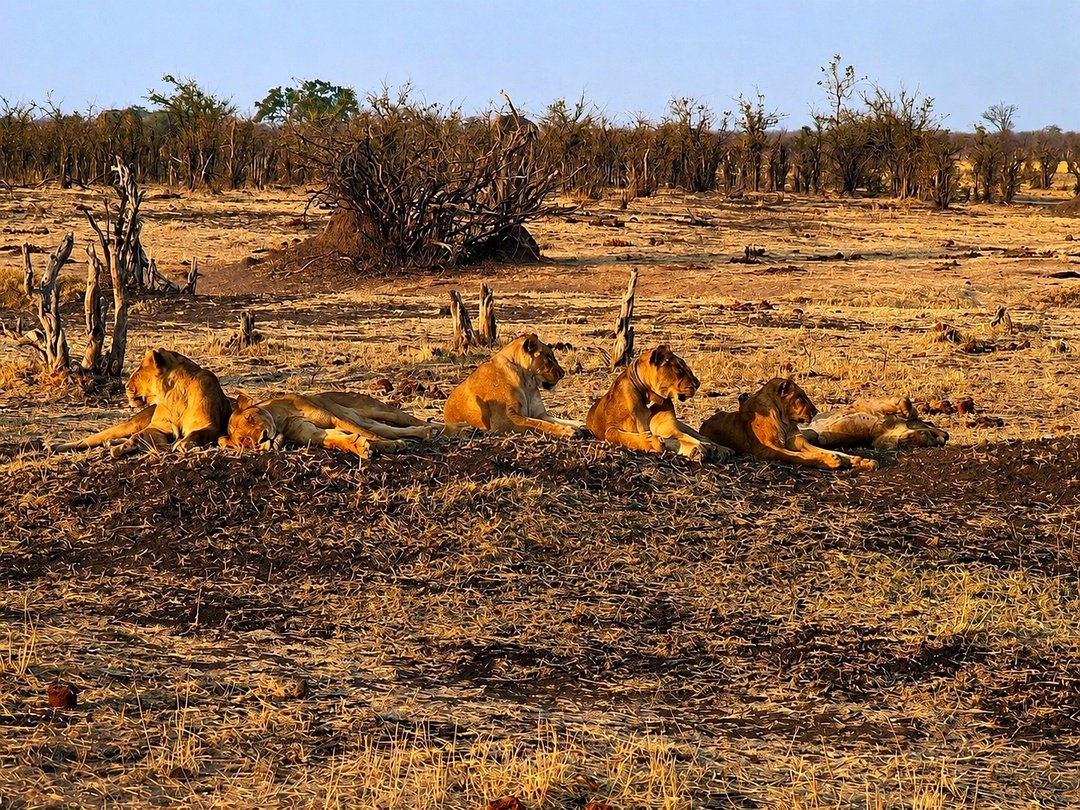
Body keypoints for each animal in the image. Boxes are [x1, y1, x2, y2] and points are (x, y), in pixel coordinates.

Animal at [52, 348, 231, 457]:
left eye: (138, 374)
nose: (125, 386)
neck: (172, 395)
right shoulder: (159, 427)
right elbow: (140, 435)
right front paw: (127, 446)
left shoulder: (209, 426)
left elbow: (196, 433)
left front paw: (182, 444)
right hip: (129, 425)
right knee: (93, 438)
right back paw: (56, 447)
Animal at [220, 391, 466, 457]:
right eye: (245, 441)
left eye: (251, 418)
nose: (262, 438)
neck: (281, 422)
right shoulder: (314, 434)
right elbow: (337, 440)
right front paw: (359, 446)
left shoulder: (334, 418)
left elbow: (370, 436)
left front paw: (390, 446)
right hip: (371, 419)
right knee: (396, 429)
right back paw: (426, 432)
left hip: (376, 409)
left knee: (408, 420)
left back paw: (455, 429)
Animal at [443, 333, 586, 437]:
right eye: (549, 357)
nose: (563, 373)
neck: (527, 384)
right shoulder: (505, 420)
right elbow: (539, 424)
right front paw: (568, 431)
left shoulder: (540, 414)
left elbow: (556, 420)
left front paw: (581, 425)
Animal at [586, 345, 730, 461]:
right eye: (680, 369)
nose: (698, 383)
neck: (649, 397)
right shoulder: (611, 429)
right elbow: (626, 437)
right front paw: (651, 442)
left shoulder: (668, 427)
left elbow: (684, 438)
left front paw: (702, 448)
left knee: (703, 437)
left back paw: (723, 449)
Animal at [699, 377, 878, 470]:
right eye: (801, 396)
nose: (815, 412)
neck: (784, 421)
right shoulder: (768, 448)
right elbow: (798, 456)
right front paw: (829, 460)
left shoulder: (799, 442)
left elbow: (831, 451)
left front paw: (861, 460)